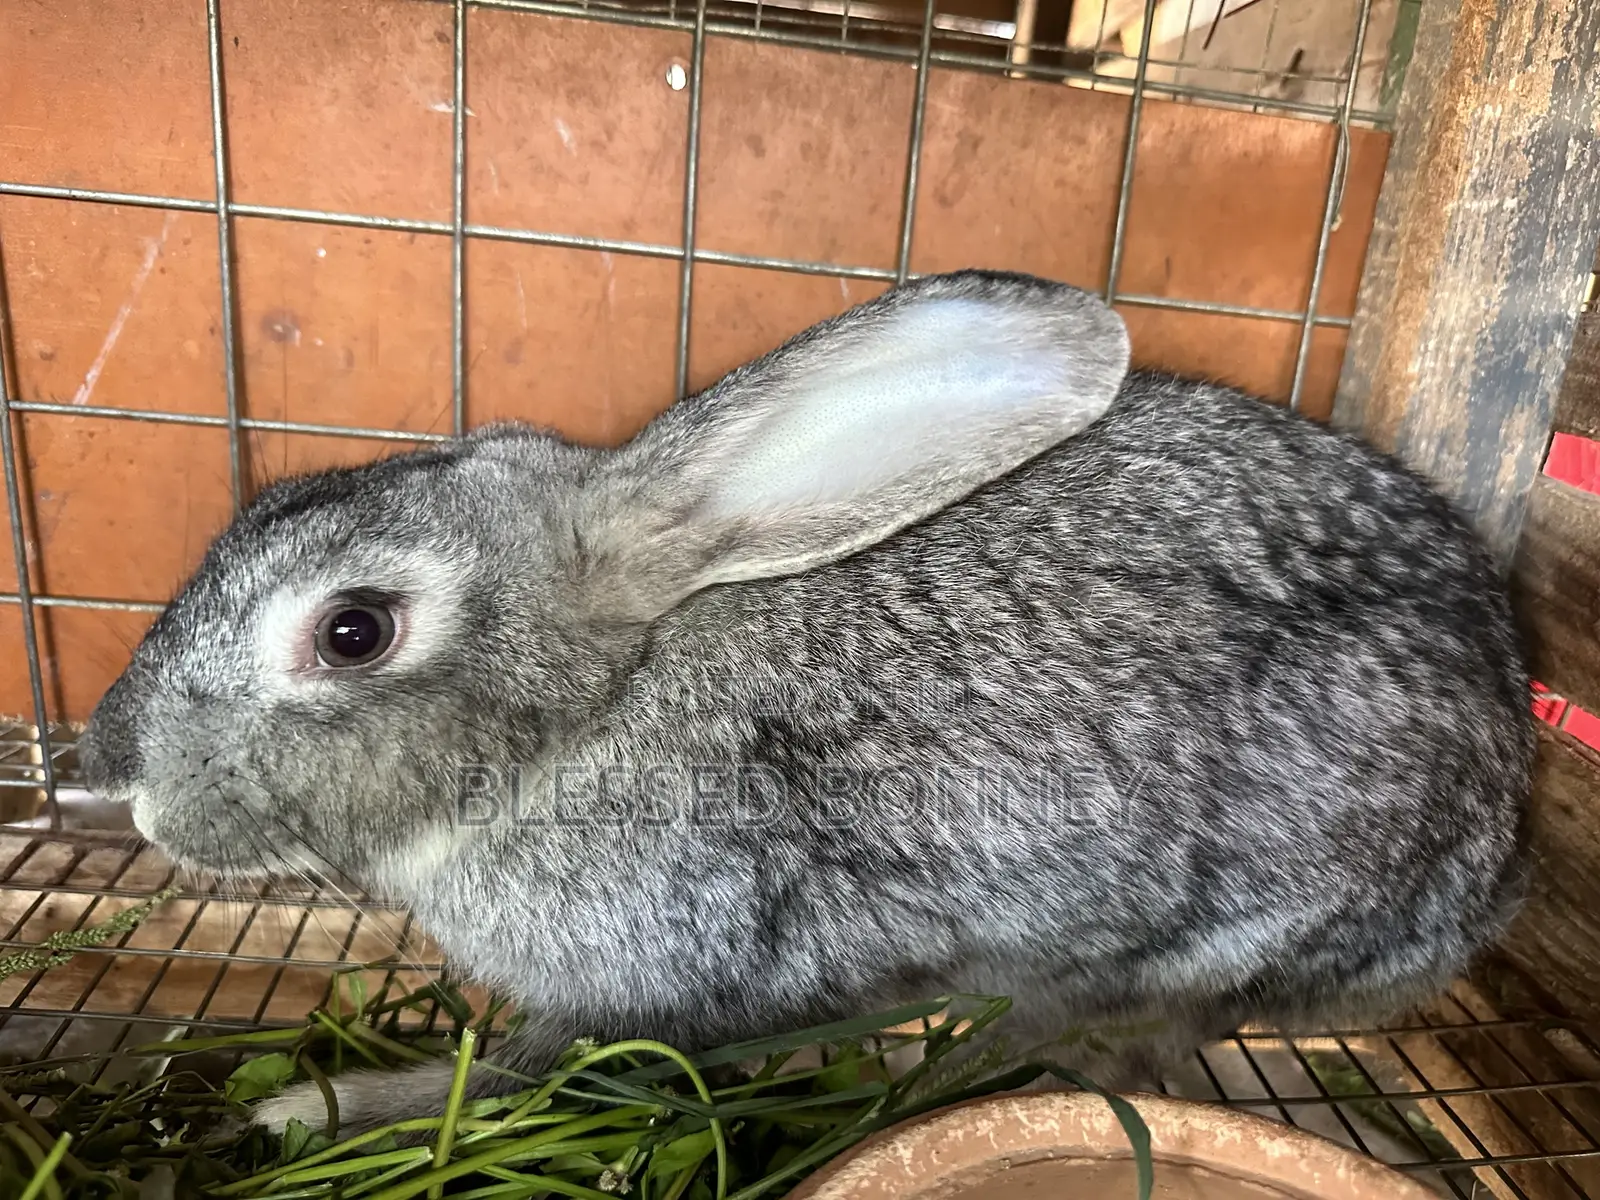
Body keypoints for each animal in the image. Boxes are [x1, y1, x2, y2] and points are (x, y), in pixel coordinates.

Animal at [78, 269, 1532, 1137]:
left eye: (354, 631)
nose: (117, 777)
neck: (593, 713)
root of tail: (1509, 831)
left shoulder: (672, 972)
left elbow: (523, 1070)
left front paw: (327, 1108)